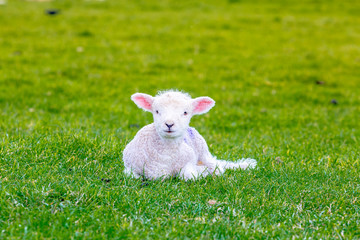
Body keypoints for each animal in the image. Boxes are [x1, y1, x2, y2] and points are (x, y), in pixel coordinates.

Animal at [122, 90, 258, 180]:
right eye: (156, 111)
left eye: (185, 112)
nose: (169, 124)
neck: (166, 156)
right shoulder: (129, 167)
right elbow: (133, 176)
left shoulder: (188, 162)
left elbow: (189, 175)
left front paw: (201, 172)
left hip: (204, 152)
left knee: (217, 166)